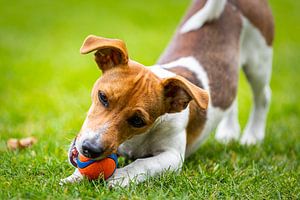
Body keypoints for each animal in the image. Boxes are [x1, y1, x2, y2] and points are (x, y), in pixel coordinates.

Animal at [59, 0, 274, 188]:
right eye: (103, 97)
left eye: (138, 120)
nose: (90, 149)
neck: (137, 139)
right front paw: (74, 178)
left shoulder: (172, 156)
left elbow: (144, 163)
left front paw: (120, 177)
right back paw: (228, 133)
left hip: (259, 63)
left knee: (262, 96)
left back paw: (252, 137)